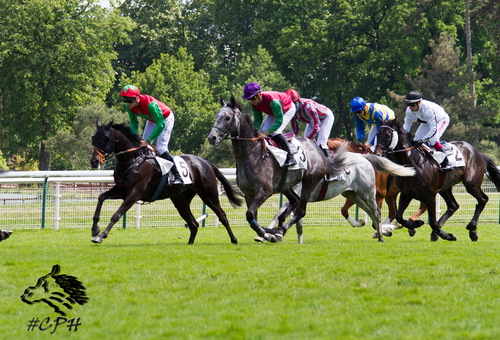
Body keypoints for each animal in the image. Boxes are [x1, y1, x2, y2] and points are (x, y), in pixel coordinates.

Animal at [93, 121, 245, 244]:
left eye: (105, 139)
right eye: (93, 138)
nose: (94, 161)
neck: (134, 160)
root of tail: (205, 162)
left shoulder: (134, 193)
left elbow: (117, 214)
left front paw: (101, 236)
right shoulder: (121, 189)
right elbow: (101, 197)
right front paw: (95, 229)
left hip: (209, 195)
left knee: (222, 216)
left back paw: (234, 239)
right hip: (180, 200)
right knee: (193, 224)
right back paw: (190, 245)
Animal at [207, 95, 328, 242]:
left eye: (228, 117)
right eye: (216, 116)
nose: (212, 138)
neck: (251, 154)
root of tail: (317, 147)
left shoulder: (264, 191)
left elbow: (249, 215)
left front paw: (266, 234)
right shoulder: (249, 194)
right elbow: (252, 218)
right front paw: (266, 232)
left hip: (309, 182)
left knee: (300, 211)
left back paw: (281, 230)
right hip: (285, 185)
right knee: (294, 201)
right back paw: (279, 228)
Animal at [270, 142, 418, 243]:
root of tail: (364, 158)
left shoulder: (298, 196)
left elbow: (283, 214)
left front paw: (273, 233)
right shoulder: (297, 198)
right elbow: (283, 216)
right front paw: (273, 233)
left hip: (368, 194)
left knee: (376, 212)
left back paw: (382, 236)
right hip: (353, 194)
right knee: (371, 212)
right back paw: (380, 230)